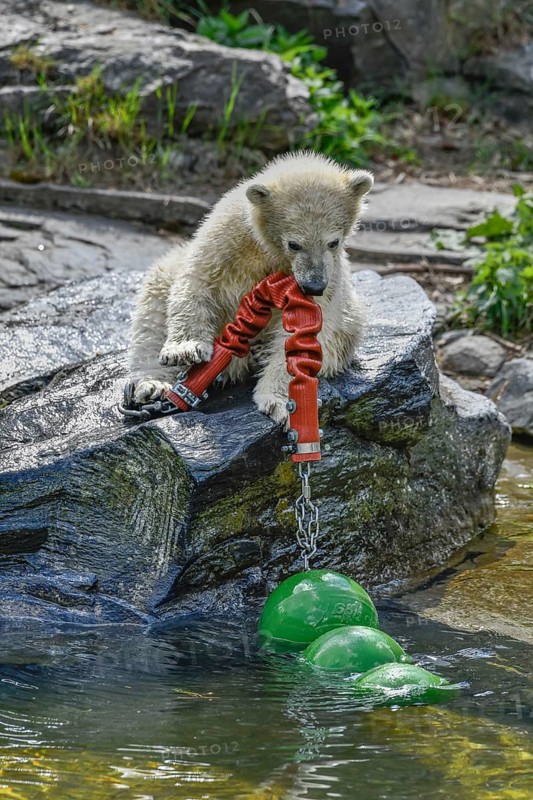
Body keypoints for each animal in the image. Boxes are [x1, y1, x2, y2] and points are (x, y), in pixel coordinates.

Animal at [126, 151, 373, 427]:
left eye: (333, 241)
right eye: (294, 244)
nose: (314, 285)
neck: (270, 251)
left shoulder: (328, 279)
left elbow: (304, 336)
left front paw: (284, 403)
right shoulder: (227, 238)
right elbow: (197, 279)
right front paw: (185, 350)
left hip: (349, 314)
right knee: (154, 306)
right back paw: (152, 384)